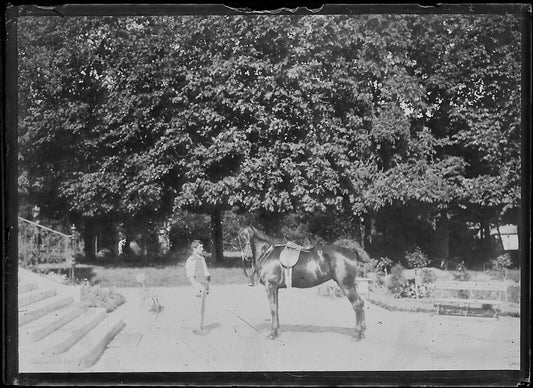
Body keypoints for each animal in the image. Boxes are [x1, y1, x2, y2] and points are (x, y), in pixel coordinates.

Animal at [239, 227, 368, 340]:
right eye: (241, 238)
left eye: (248, 237)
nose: (248, 256)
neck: (267, 252)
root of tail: (351, 251)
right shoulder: (275, 288)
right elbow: (276, 307)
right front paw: (276, 331)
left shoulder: (270, 286)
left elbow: (272, 309)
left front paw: (272, 334)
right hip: (351, 285)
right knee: (361, 303)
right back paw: (363, 332)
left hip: (346, 285)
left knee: (357, 304)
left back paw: (358, 335)